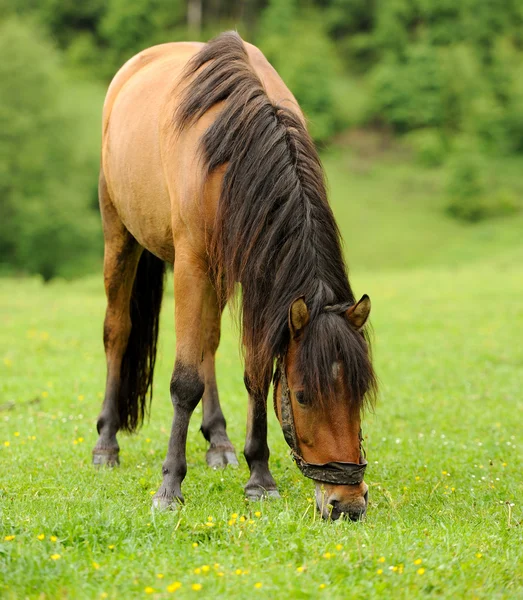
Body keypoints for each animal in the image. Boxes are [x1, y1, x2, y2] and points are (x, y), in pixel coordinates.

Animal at [91, 31, 376, 520]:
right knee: (118, 331)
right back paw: (106, 444)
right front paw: (170, 486)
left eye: (359, 393)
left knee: (207, 341)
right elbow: (184, 381)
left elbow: (255, 373)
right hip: (120, 237)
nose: (347, 503)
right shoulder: (192, 265)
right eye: (303, 395)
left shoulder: (254, 274)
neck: (233, 151)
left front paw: (259, 475)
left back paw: (219, 441)